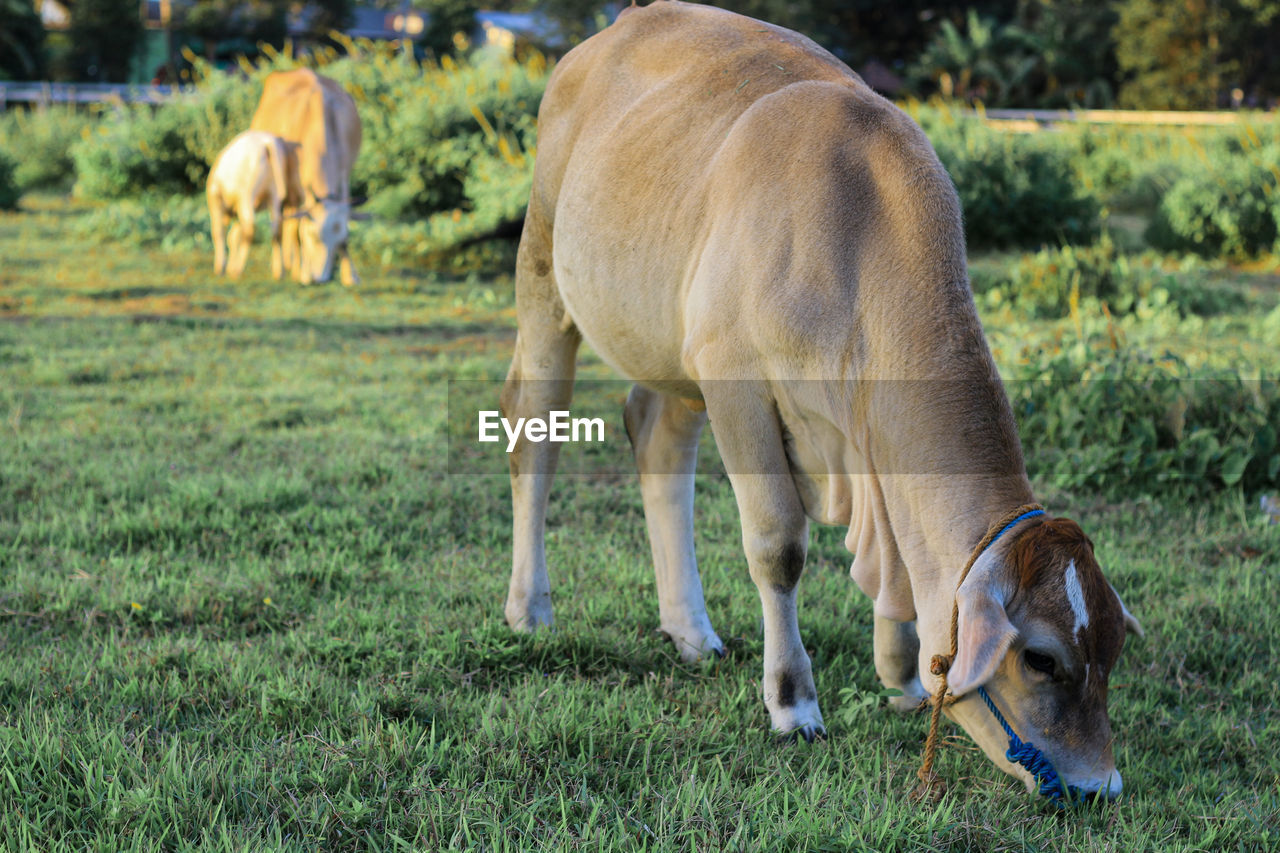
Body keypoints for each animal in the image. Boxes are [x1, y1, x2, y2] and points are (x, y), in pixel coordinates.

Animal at [206, 129, 289, 277]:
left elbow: (219, 232)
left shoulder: (215, 197)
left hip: (246, 195)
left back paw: (238, 269)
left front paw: (221, 267)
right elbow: (233, 237)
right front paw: (228, 267)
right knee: (277, 229)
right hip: (273, 195)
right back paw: (279, 271)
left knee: (250, 229)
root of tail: (266, 142)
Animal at [248, 67, 360, 285]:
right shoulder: (295, 187)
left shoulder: (344, 178)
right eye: (314, 236)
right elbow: (295, 229)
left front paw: (349, 275)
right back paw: (283, 266)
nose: (320, 278)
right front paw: (303, 273)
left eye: (338, 239)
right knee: (284, 222)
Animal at [499, 1, 1141, 799]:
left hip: (674, 342)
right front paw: (792, 701)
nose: (1099, 786)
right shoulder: (736, 380)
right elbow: (778, 546)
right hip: (545, 272)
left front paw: (901, 678)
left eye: (1111, 651)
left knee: (656, 438)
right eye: (1043, 658)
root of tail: (618, 28)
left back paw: (691, 629)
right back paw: (530, 607)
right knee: (534, 433)